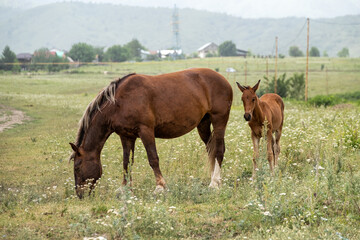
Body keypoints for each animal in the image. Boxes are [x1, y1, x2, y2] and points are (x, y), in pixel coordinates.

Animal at [69, 68, 233, 199]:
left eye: (77, 167)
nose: (80, 195)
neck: (119, 102)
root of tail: (224, 80)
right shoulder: (126, 136)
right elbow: (126, 162)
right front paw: (124, 188)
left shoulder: (146, 131)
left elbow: (153, 159)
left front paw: (160, 187)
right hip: (203, 124)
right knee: (211, 149)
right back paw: (215, 180)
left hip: (219, 119)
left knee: (219, 150)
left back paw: (214, 183)